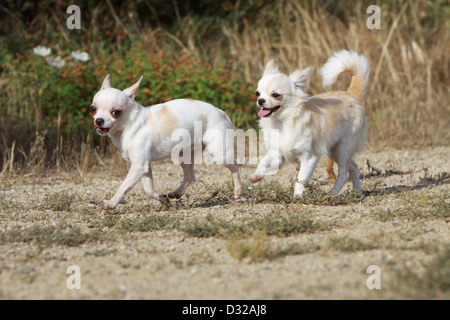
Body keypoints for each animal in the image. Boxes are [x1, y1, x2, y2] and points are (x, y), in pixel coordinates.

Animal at [89, 75, 241, 210]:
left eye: (116, 112)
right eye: (93, 109)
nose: (99, 120)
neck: (128, 125)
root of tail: (221, 112)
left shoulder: (139, 166)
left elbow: (123, 187)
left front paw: (111, 203)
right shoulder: (144, 166)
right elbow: (148, 189)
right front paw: (162, 199)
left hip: (219, 153)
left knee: (235, 167)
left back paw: (238, 191)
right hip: (183, 155)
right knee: (190, 176)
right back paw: (177, 193)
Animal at [250, 50, 370, 198]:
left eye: (276, 95)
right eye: (257, 93)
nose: (260, 100)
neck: (282, 122)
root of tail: (352, 96)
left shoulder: (309, 157)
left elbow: (301, 179)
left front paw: (298, 196)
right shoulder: (277, 155)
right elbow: (262, 162)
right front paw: (256, 175)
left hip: (344, 147)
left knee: (343, 173)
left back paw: (332, 194)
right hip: (333, 150)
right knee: (353, 166)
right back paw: (358, 191)